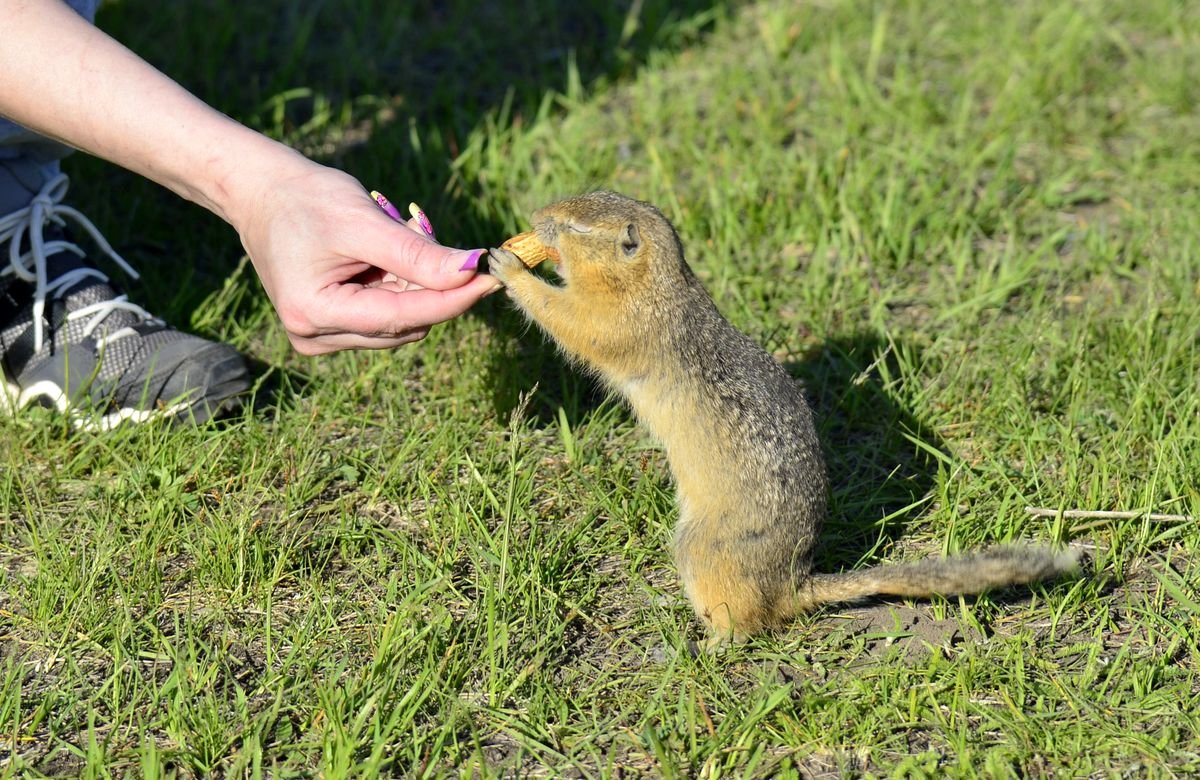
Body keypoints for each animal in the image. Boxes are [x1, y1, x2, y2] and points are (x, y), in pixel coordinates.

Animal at [484, 189, 1080, 643]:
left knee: (747, 623)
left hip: (701, 546)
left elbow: (572, 320)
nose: (536, 216)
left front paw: (508, 266)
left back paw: (703, 644)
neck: (656, 282)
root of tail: (793, 584)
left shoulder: (620, 319)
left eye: (576, 225)